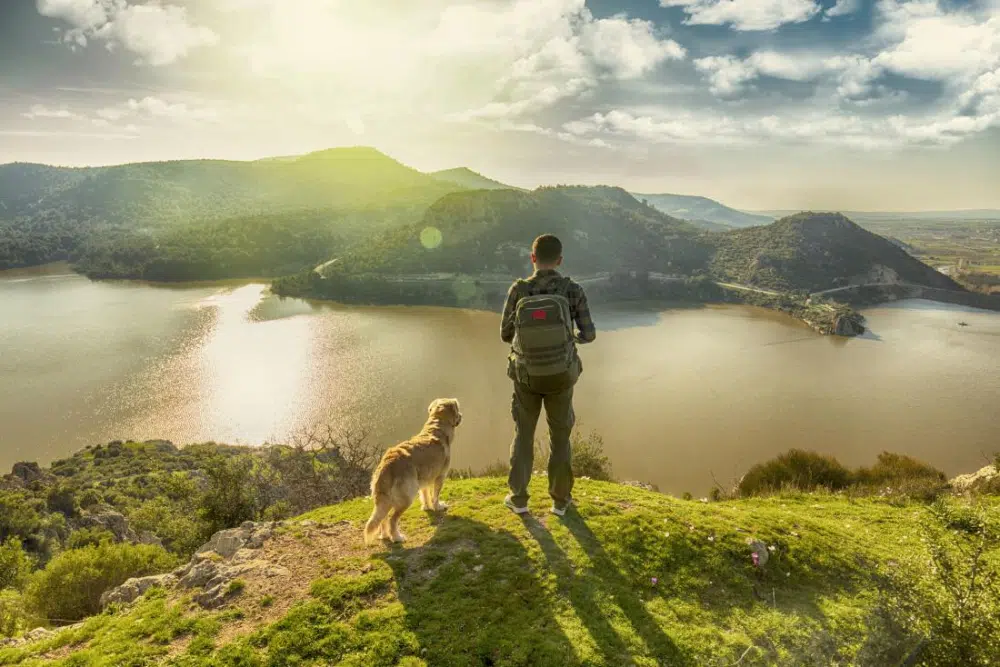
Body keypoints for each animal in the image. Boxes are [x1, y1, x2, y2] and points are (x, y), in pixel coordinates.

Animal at [366, 400, 462, 544]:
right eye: (457, 410)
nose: (461, 415)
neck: (437, 427)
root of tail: (387, 465)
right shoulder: (440, 476)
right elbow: (435, 496)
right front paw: (438, 507)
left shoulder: (424, 479)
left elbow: (425, 494)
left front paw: (427, 507)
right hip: (406, 497)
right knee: (392, 519)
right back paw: (397, 537)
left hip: (385, 499)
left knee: (382, 518)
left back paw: (385, 535)